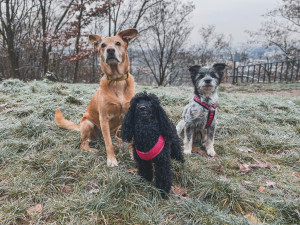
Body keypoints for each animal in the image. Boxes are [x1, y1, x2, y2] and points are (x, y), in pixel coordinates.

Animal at [54, 28, 137, 166]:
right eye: (103, 45)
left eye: (118, 43)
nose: (110, 50)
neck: (116, 81)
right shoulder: (104, 118)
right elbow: (108, 143)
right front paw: (111, 160)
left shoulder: (130, 116)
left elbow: (132, 140)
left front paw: (133, 155)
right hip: (88, 124)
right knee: (83, 143)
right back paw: (92, 150)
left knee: (113, 136)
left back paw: (119, 140)